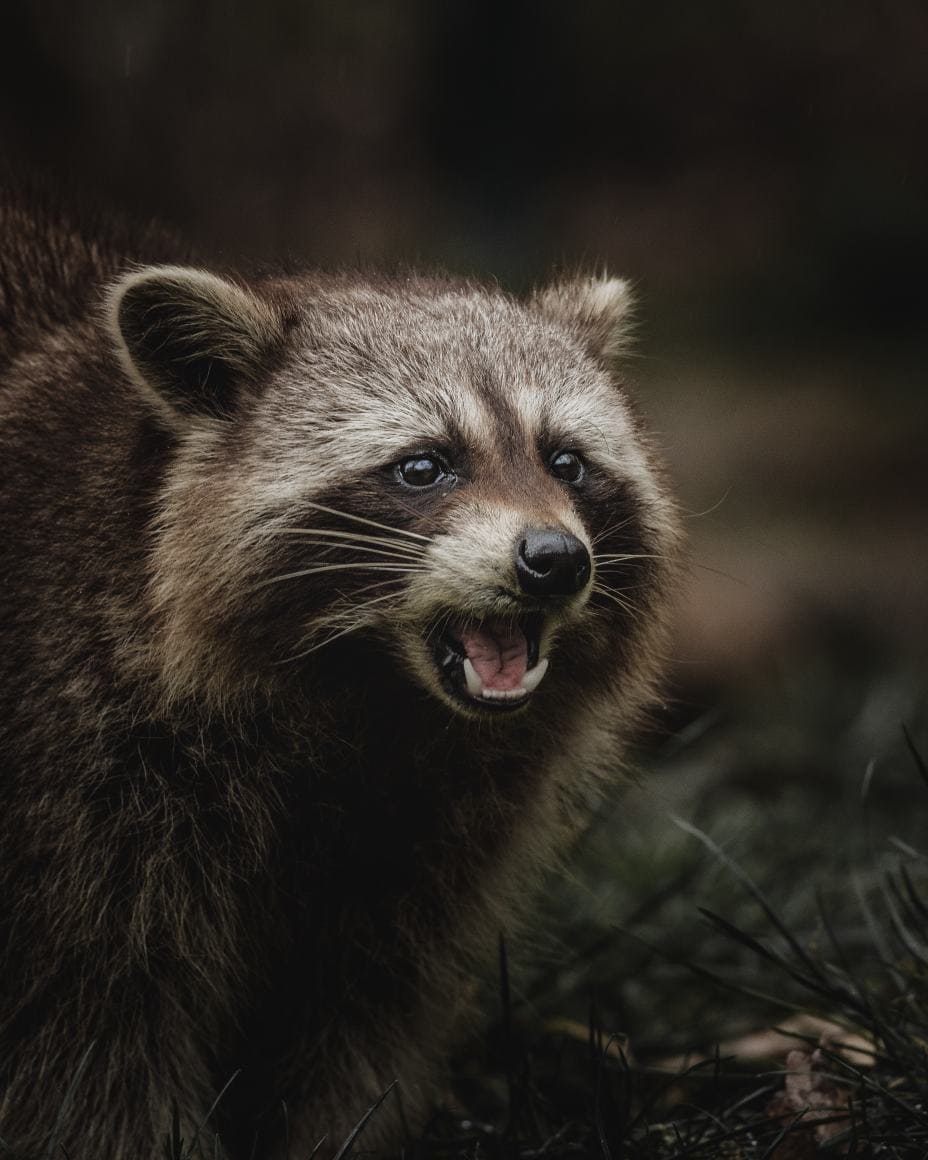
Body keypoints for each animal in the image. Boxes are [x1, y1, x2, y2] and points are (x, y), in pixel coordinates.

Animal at [0, 192, 681, 1159]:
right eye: (424, 465)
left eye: (565, 461)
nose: (555, 560)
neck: (367, 697)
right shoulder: (70, 759)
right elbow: (91, 1012)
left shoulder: (437, 815)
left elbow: (366, 990)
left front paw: (338, 1126)